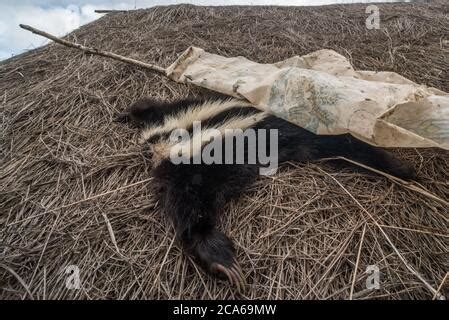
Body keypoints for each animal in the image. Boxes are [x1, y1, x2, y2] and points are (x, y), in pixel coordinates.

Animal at [117, 96, 414, 288]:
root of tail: (162, 140)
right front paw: (401, 169)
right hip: (193, 173)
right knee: (191, 215)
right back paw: (223, 262)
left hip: (182, 124)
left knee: (150, 108)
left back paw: (127, 114)